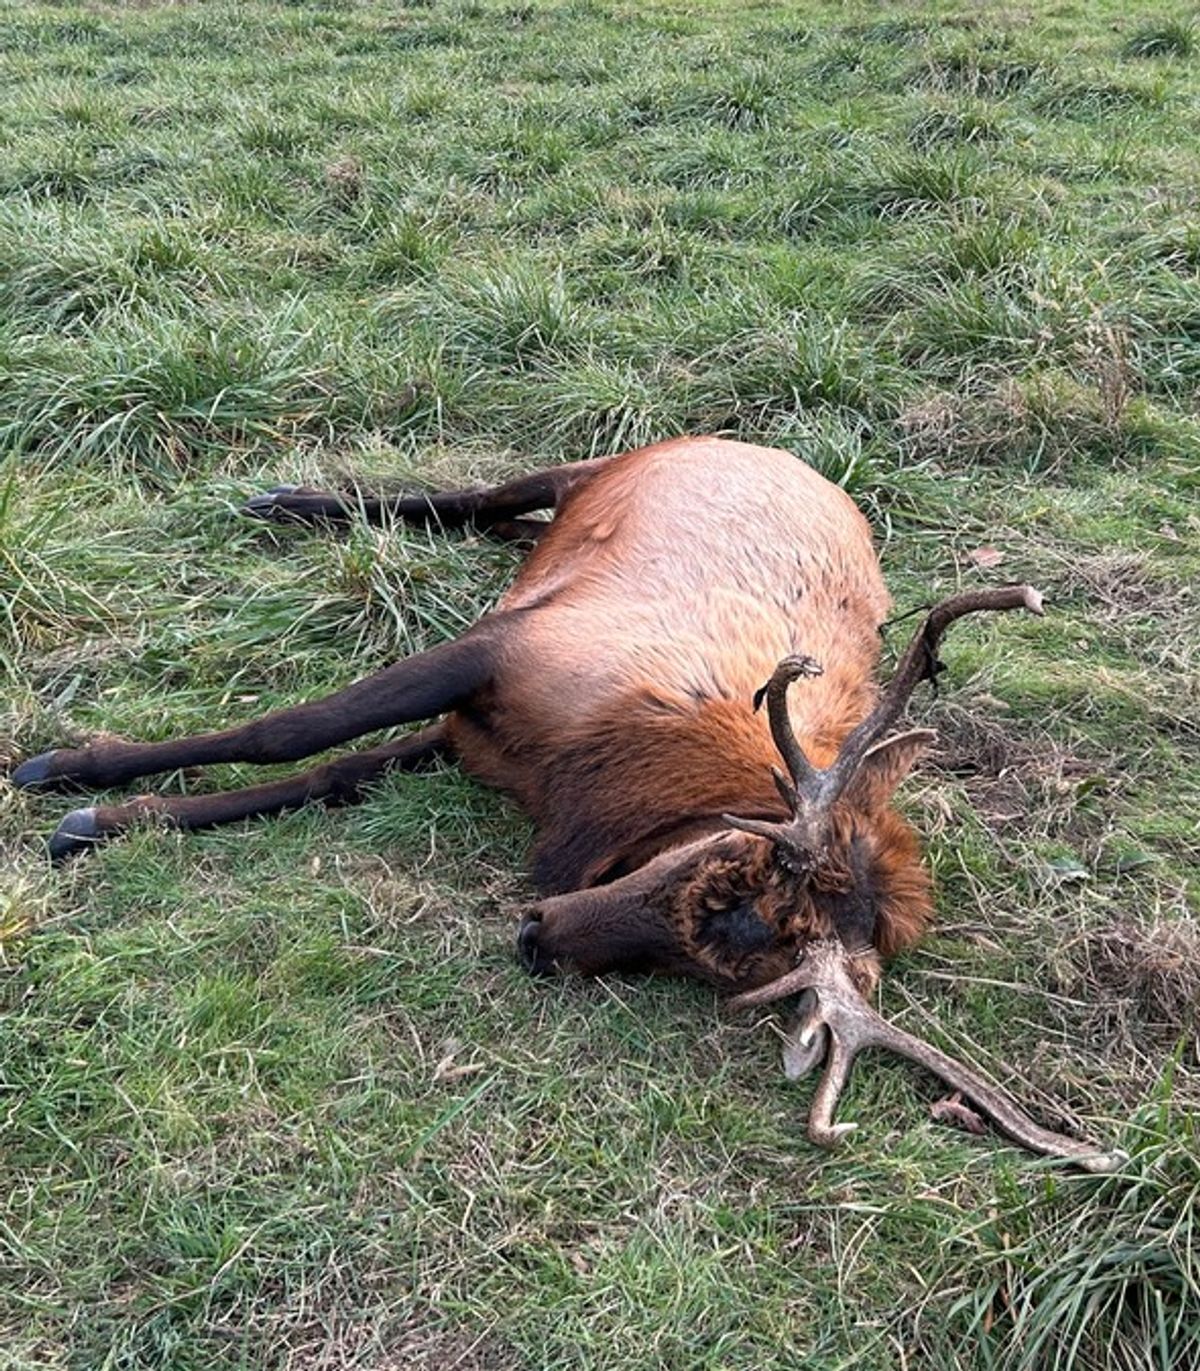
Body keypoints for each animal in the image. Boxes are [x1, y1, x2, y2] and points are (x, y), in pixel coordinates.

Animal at [12, 436, 1124, 1171]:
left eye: (720, 973)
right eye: (713, 874)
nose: (536, 934)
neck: (591, 778)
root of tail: (777, 449)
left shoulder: (475, 743)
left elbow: (323, 776)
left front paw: (106, 819)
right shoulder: (496, 657)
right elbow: (287, 730)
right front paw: (64, 771)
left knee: (505, 524)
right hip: (595, 466)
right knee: (473, 495)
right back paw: (289, 499)